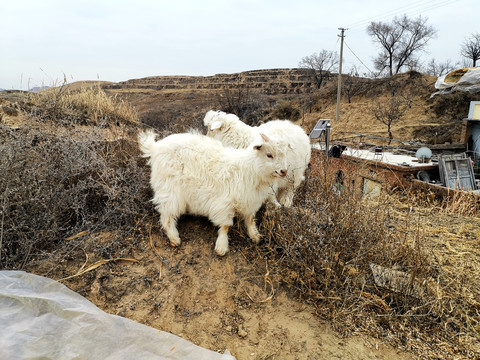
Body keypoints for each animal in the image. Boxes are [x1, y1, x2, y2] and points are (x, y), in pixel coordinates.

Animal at [139, 129, 288, 256]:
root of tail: (155, 147)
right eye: (269, 155)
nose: (284, 171)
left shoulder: (250, 201)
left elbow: (250, 219)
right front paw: (221, 247)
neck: (249, 169)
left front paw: (255, 235)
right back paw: (174, 238)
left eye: (283, 154)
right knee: (166, 216)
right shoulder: (224, 203)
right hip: (169, 190)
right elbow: (226, 225)